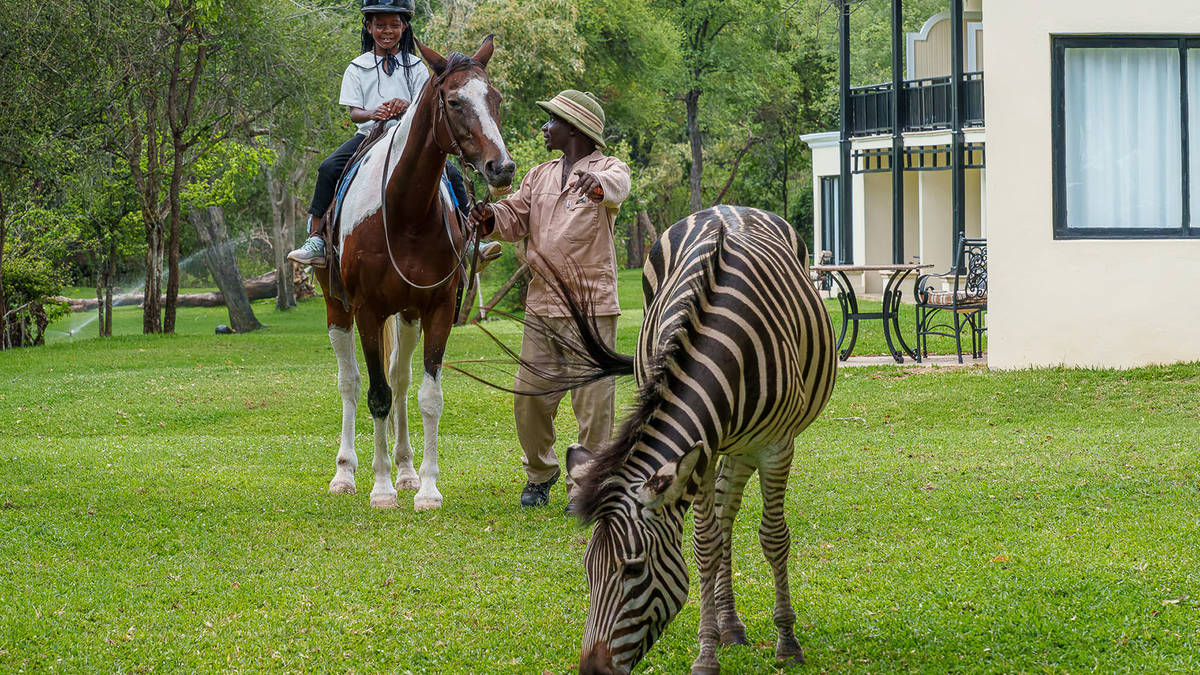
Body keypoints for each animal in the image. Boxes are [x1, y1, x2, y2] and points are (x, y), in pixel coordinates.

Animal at [315, 36, 515, 511]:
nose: (501, 168)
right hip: (338, 309)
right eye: (455, 101)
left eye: (495, 99)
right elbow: (375, 395)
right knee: (351, 383)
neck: (404, 211)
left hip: (406, 315)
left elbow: (427, 396)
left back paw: (404, 469)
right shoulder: (367, 311)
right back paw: (346, 473)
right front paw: (381, 488)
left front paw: (425, 487)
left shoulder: (437, 308)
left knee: (401, 381)